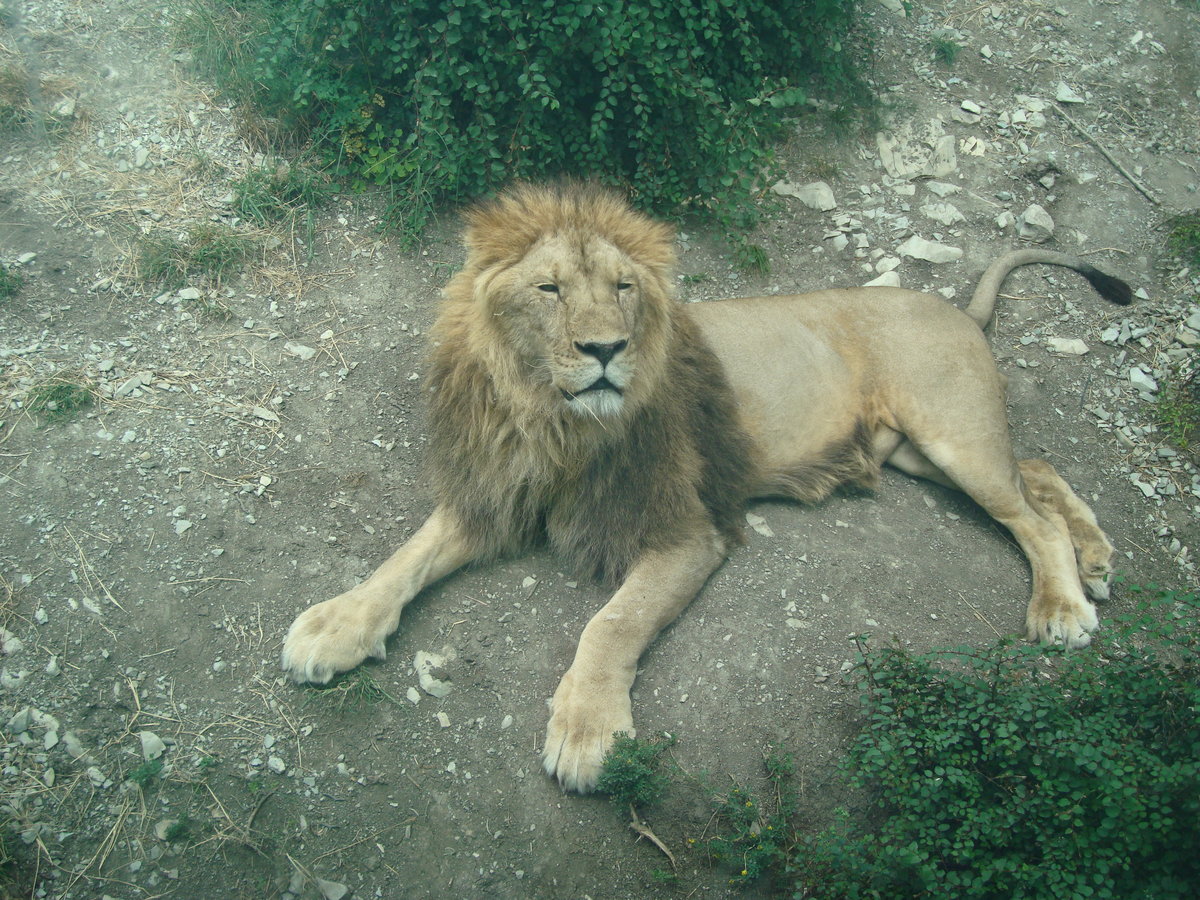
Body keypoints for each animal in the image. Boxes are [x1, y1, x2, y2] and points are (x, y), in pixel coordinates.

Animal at [281, 182, 1130, 792]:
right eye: (549, 290)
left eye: (624, 287)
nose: (605, 350)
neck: (552, 420)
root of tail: (955, 308)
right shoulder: (496, 491)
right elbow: (406, 557)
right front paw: (335, 625)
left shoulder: (685, 531)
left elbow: (610, 625)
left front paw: (589, 732)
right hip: (919, 453)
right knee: (1040, 472)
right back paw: (1095, 558)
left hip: (951, 437)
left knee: (1031, 515)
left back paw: (1063, 605)